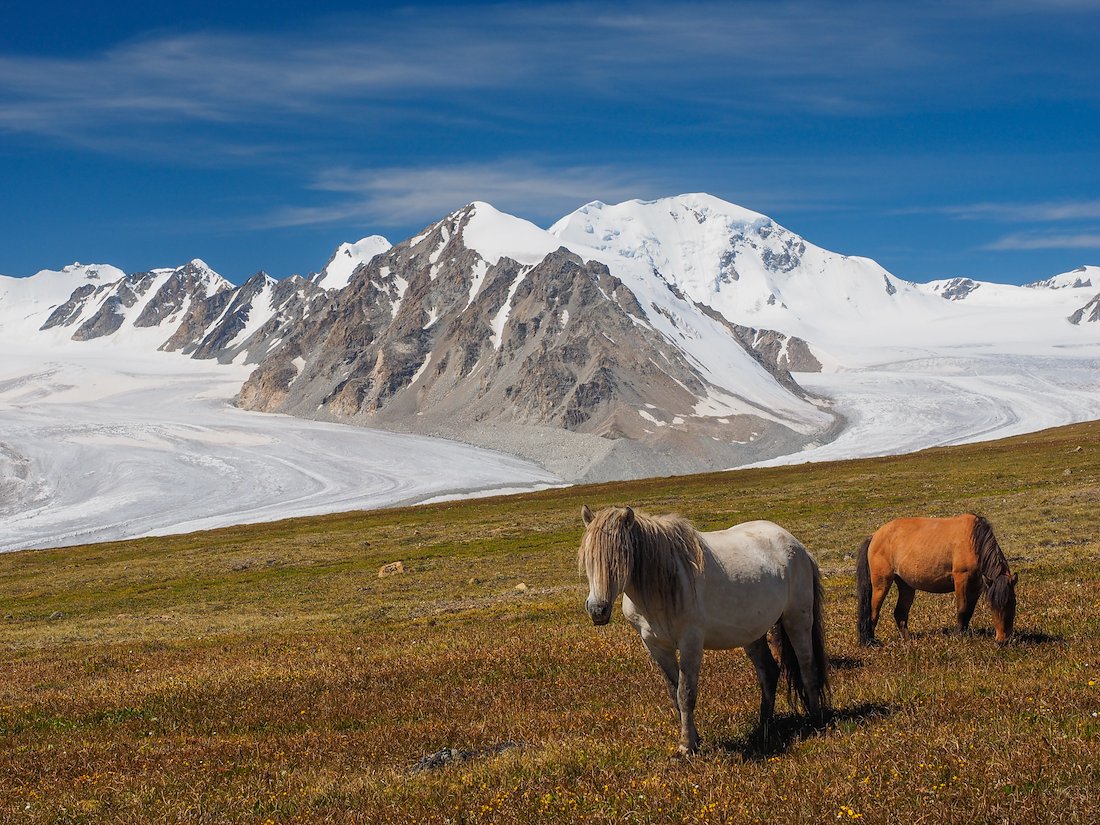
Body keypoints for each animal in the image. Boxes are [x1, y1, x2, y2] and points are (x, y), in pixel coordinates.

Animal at [578, 505, 830, 755]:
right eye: (588, 558)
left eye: (621, 556)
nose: (598, 610)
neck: (662, 586)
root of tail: (797, 545)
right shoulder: (654, 645)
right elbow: (674, 692)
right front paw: (693, 740)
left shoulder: (691, 642)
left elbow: (686, 693)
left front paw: (686, 746)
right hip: (753, 634)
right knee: (768, 673)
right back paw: (764, 729)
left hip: (797, 620)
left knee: (807, 667)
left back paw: (816, 722)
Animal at [856, 513, 1018, 646]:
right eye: (993, 606)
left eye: (1013, 604)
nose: (1002, 641)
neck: (974, 541)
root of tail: (874, 536)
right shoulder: (961, 579)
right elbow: (962, 609)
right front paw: (959, 636)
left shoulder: (977, 585)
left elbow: (969, 611)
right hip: (881, 582)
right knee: (873, 612)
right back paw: (870, 642)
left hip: (906, 585)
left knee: (900, 613)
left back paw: (908, 641)